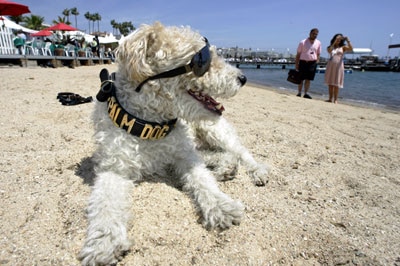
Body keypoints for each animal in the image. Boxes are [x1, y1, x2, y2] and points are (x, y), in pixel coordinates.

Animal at [79, 21, 268, 264]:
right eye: (202, 60)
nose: (243, 78)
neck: (150, 125)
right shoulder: (114, 167)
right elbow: (105, 202)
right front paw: (104, 241)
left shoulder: (186, 157)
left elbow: (203, 180)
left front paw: (220, 206)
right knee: (221, 154)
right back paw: (226, 168)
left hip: (213, 129)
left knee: (241, 152)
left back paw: (257, 171)